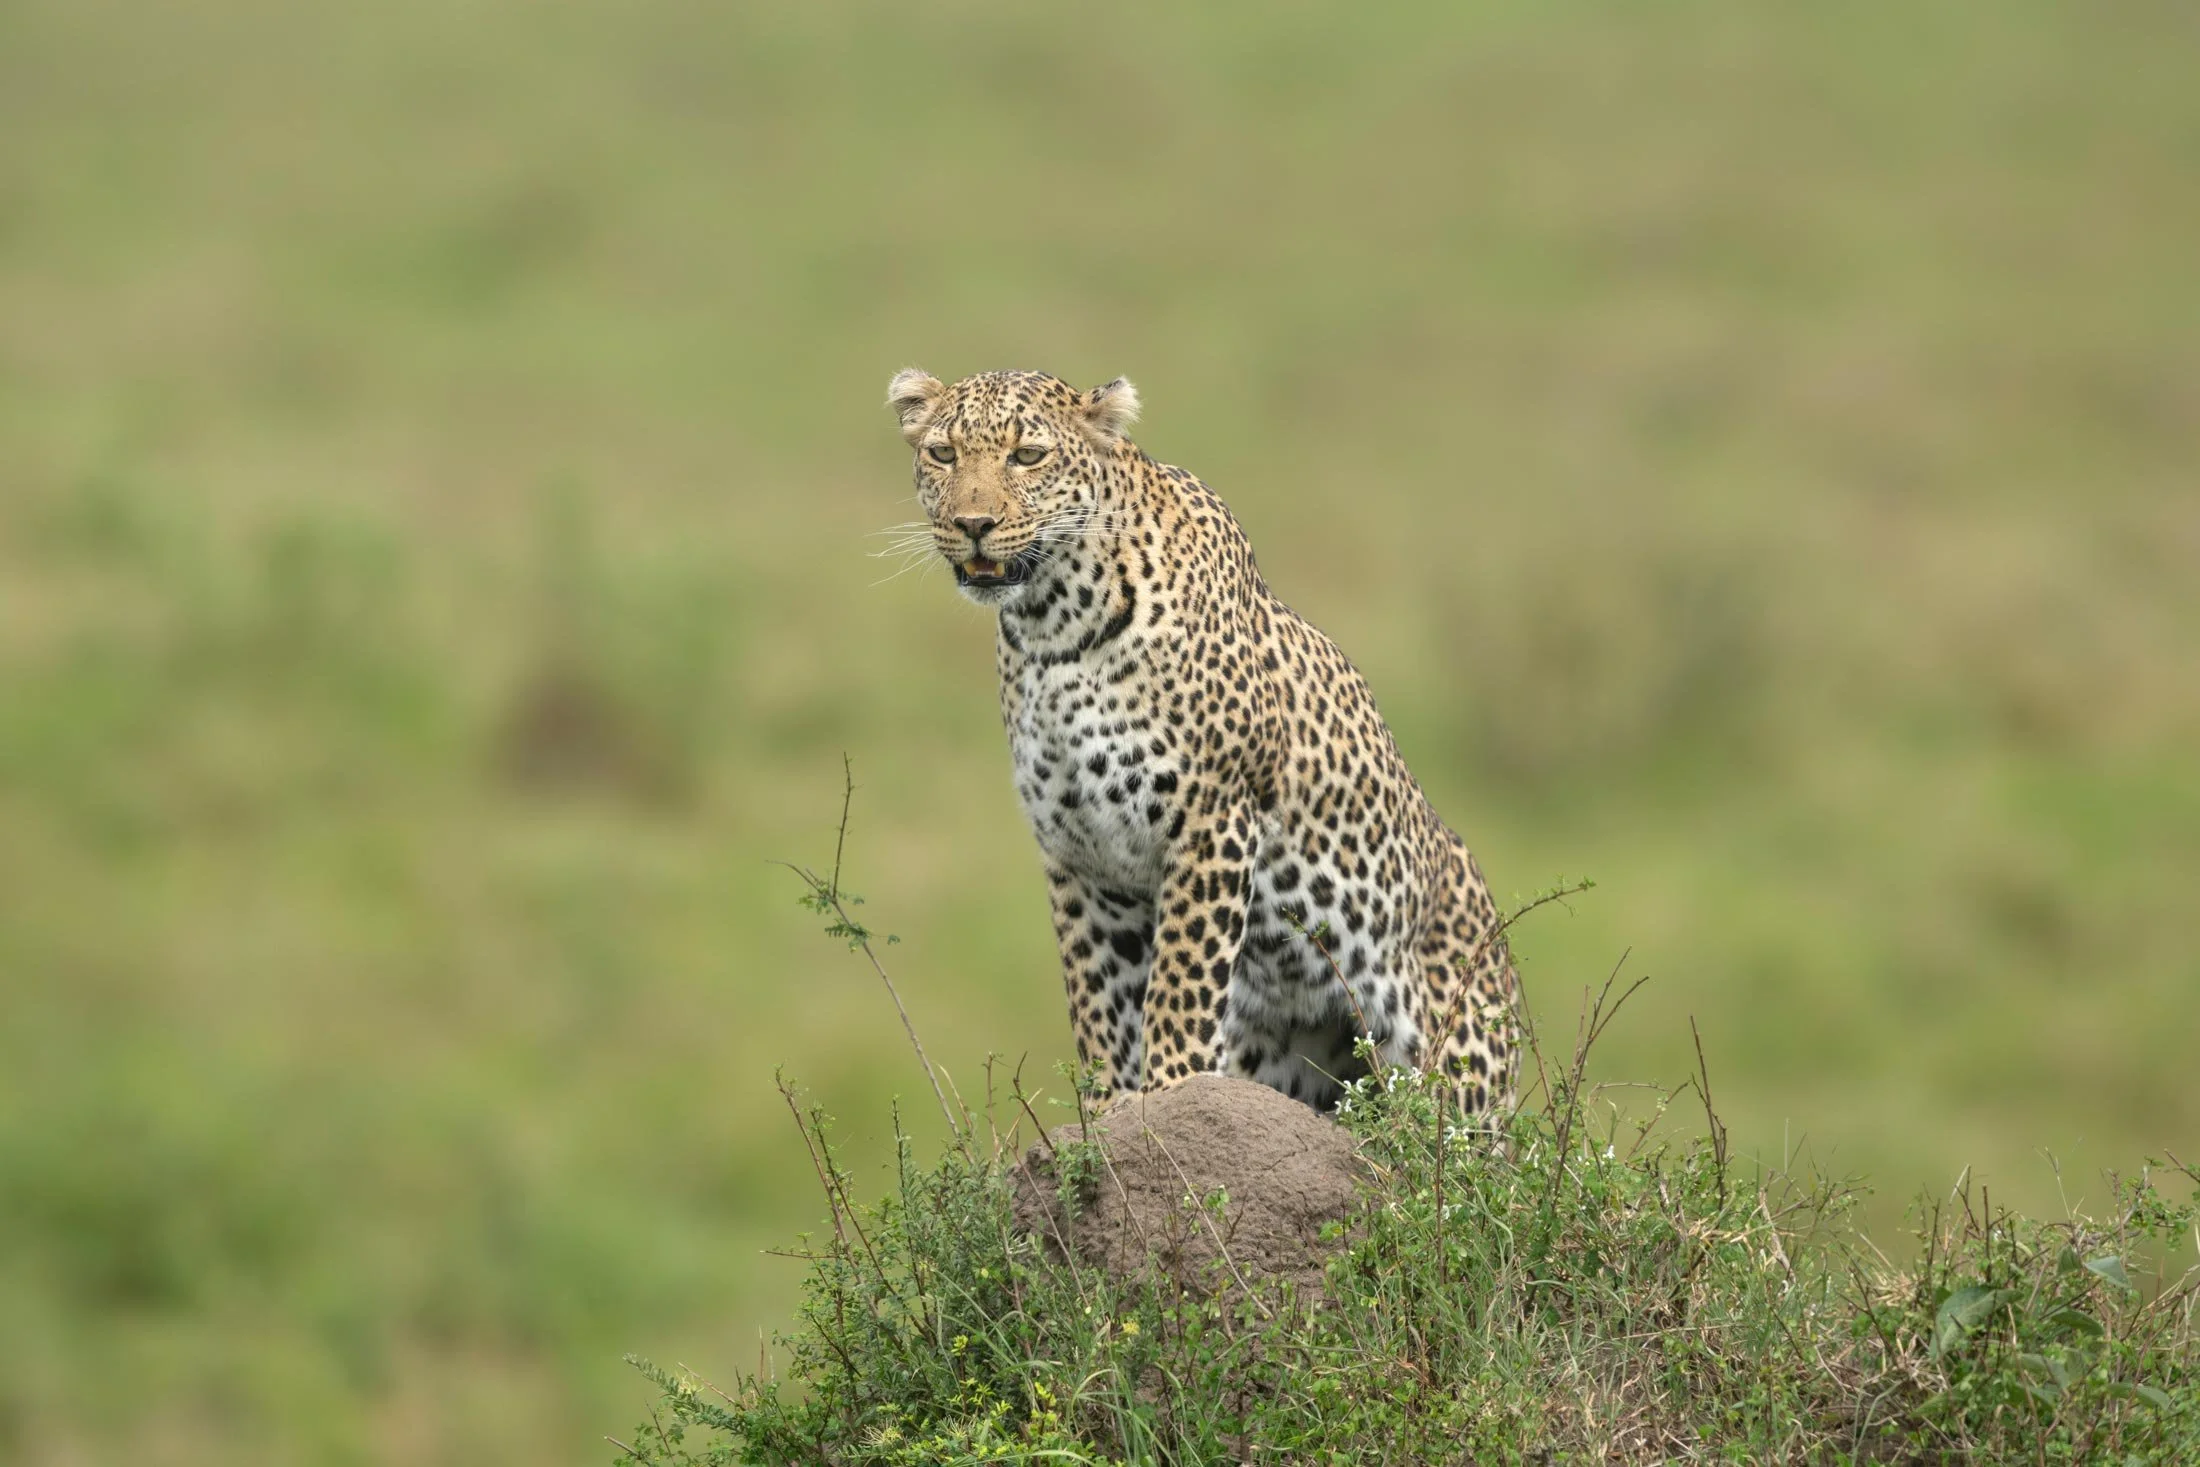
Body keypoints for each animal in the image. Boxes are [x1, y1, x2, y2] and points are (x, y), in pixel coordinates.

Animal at [884, 367, 1518, 1115]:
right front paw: (1106, 1107)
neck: (1054, 627)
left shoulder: (1212, 820)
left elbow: (1180, 982)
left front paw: (1169, 1090)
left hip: (1456, 1075)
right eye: (943, 454)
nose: (973, 525)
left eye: (1028, 456)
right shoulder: (1079, 854)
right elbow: (1096, 996)